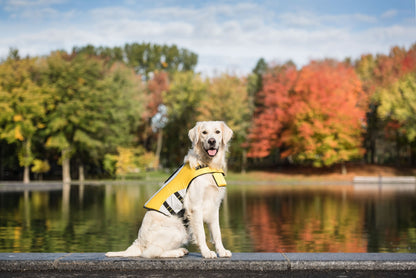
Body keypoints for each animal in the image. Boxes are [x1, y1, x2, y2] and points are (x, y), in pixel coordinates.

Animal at [105, 121, 232, 258]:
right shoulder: (195, 207)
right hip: (178, 229)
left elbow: (217, 233)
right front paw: (207, 252)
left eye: (217, 132)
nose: (212, 141)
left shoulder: (214, 206)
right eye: (204, 133)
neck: (207, 165)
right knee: (151, 252)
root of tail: (138, 243)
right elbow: (201, 234)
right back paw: (177, 252)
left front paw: (222, 251)